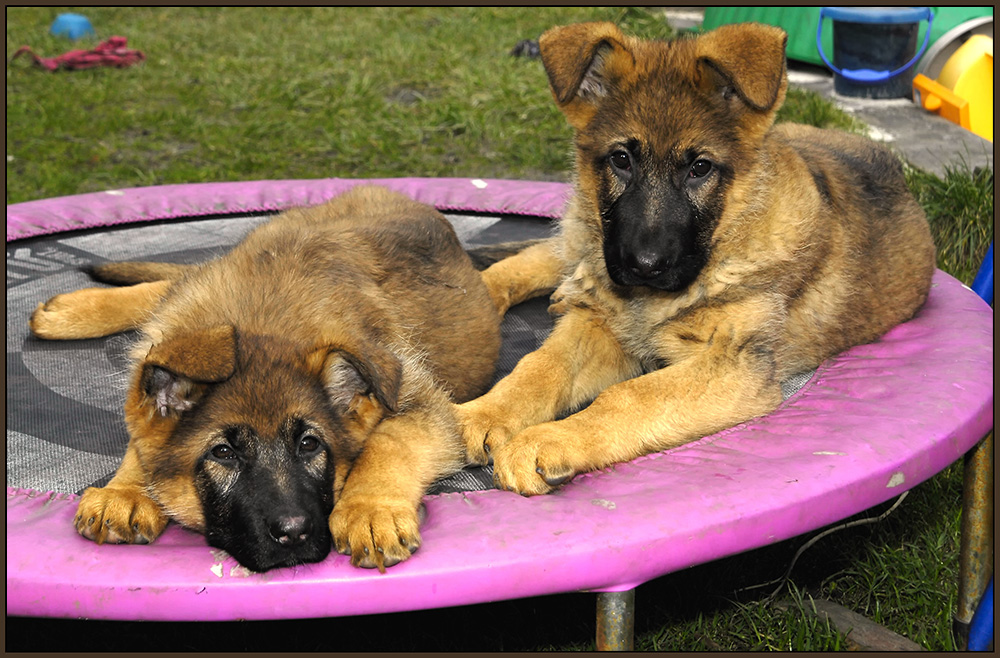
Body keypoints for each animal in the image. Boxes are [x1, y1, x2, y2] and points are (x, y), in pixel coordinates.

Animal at [456, 21, 936, 492]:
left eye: (699, 168)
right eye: (621, 159)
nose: (644, 266)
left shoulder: (735, 366)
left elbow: (627, 395)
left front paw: (548, 439)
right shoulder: (605, 321)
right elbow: (540, 364)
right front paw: (483, 413)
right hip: (588, 236)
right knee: (538, 258)